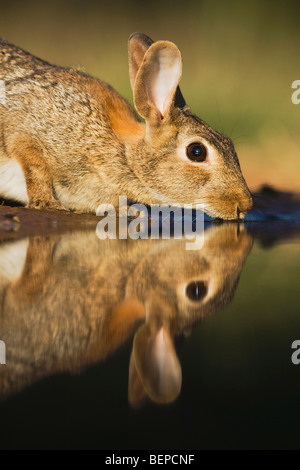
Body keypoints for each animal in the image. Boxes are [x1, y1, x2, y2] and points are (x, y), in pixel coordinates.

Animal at [0, 33, 253, 220]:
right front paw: (47, 203)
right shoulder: (27, 128)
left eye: (229, 143)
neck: (125, 155)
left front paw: (126, 210)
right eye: (197, 152)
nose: (245, 204)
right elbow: (34, 164)